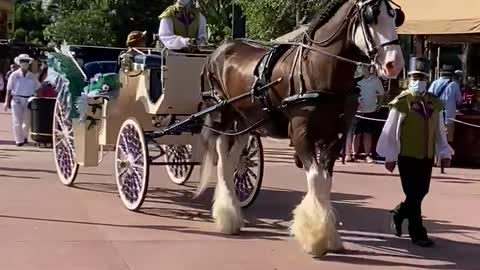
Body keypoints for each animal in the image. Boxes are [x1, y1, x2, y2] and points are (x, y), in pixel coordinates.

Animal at [195, 0, 404, 256]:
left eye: (395, 17)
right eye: (371, 17)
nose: (394, 64)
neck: (318, 69)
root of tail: (219, 49)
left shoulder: (335, 137)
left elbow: (326, 181)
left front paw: (329, 236)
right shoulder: (301, 134)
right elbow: (315, 178)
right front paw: (315, 237)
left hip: (245, 123)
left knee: (234, 161)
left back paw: (232, 212)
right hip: (222, 116)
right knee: (223, 160)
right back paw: (227, 218)